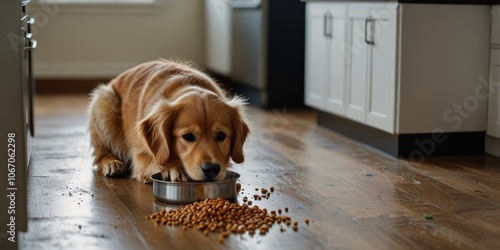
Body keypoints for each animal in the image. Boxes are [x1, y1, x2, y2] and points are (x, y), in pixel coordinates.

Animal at [89, 59, 250, 183]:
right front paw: (172, 169)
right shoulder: (141, 156)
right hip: (104, 100)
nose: (211, 169)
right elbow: (157, 162)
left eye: (221, 136)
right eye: (188, 136)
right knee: (100, 153)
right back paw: (112, 163)